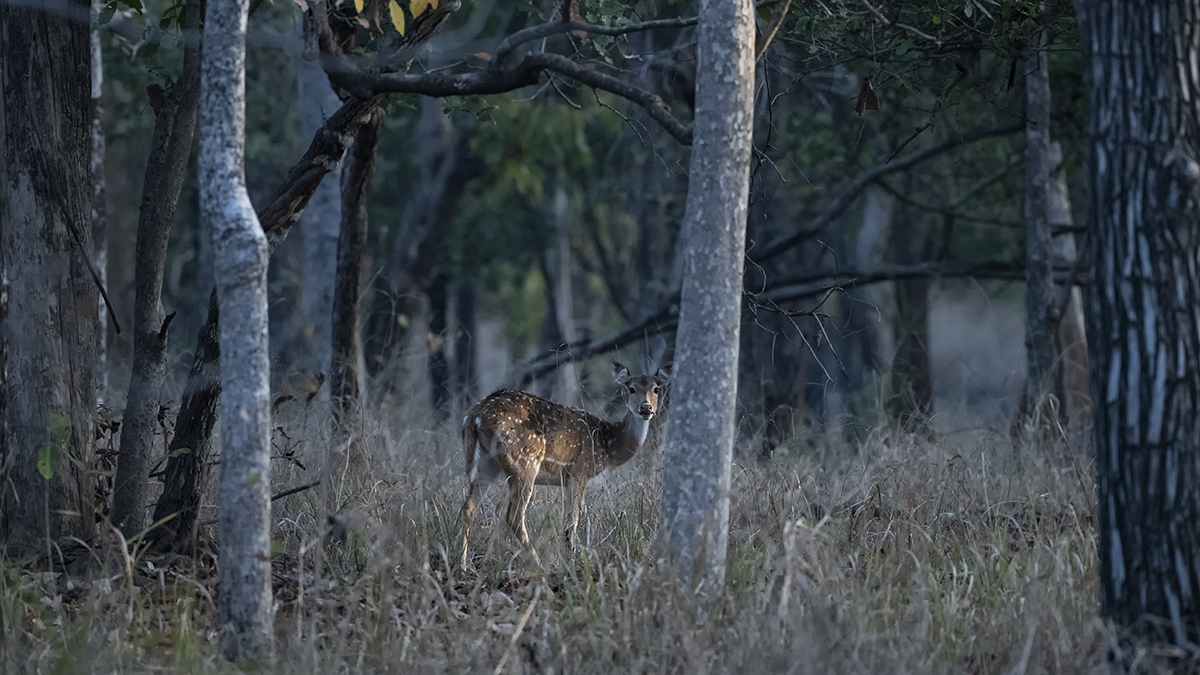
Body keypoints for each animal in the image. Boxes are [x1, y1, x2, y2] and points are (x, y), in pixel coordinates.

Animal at [456, 360, 672, 564]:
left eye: (656, 388)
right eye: (631, 388)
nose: (646, 408)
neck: (608, 443)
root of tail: (475, 415)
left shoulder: (566, 479)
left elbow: (568, 521)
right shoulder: (580, 470)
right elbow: (572, 522)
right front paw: (572, 562)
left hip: (486, 463)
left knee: (468, 508)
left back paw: (463, 564)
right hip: (524, 461)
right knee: (514, 515)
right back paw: (538, 566)